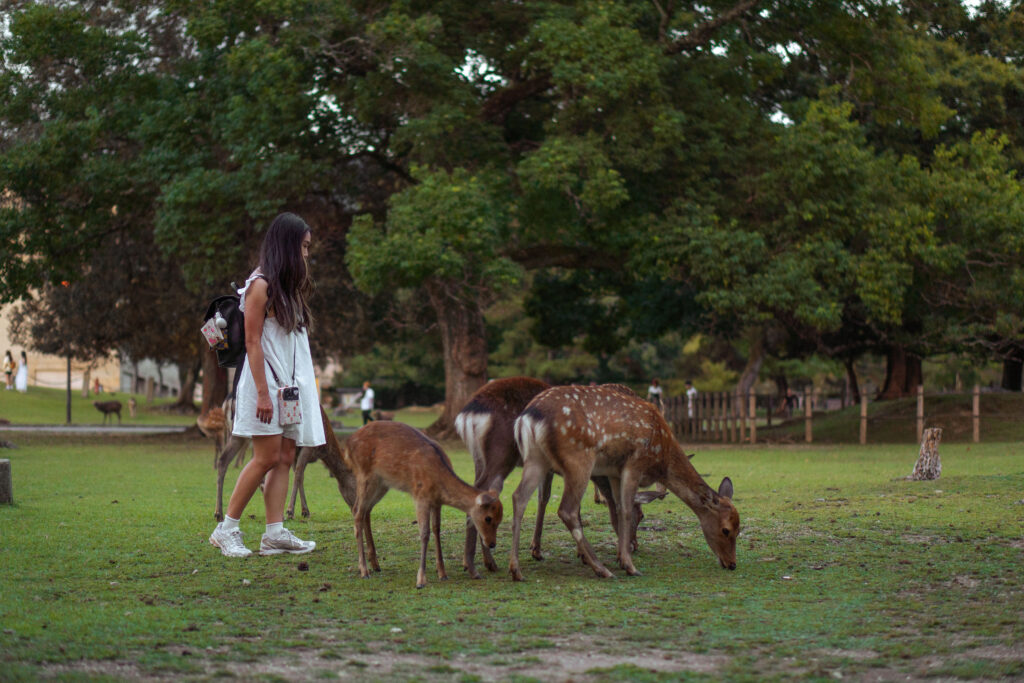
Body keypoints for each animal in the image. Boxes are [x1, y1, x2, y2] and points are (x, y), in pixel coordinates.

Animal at [344, 419, 503, 589]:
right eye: (488, 518)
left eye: (500, 519)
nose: (492, 543)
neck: (438, 479)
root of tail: (347, 444)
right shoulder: (420, 496)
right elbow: (424, 533)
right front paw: (421, 580)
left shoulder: (437, 502)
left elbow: (436, 529)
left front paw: (442, 573)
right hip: (364, 476)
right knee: (357, 511)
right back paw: (364, 570)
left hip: (382, 483)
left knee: (366, 511)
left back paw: (375, 565)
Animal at [456, 376, 663, 581]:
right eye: (640, 515)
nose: (633, 545)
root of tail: (467, 415)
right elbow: (565, 503)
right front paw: (584, 555)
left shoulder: (551, 468)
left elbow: (545, 498)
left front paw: (537, 549)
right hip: (501, 455)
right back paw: (478, 564)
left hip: (479, 459)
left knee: (477, 490)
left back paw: (480, 562)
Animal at [507, 385, 741, 581]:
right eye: (726, 530)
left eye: (739, 530)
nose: (732, 564)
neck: (661, 457)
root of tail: (526, 418)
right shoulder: (634, 463)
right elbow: (627, 509)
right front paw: (629, 565)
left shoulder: (614, 472)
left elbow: (618, 508)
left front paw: (621, 557)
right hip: (578, 460)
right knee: (567, 509)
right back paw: (601, 569)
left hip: (536, 459)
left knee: (519, 497)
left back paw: (516, 569)